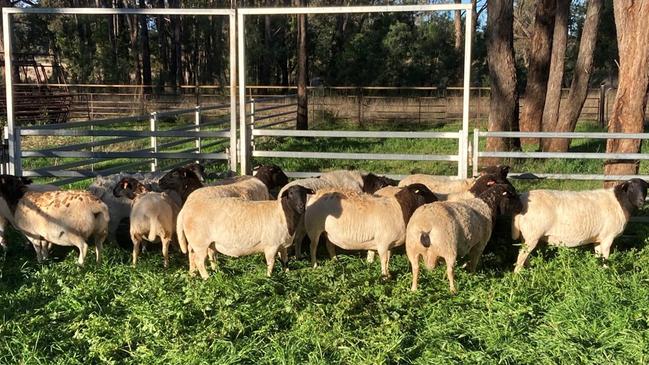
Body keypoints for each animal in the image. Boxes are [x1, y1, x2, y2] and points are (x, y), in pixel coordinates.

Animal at [177, 185, 314, 278]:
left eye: (304, 194)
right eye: (290, 194)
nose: (301, 206)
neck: (283, 214)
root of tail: (185, 210)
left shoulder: (283, 245)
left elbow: (285, 261)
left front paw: (287, 273)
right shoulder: (271, 245)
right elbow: (271, 263)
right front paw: (269, 277)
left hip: (204, 243)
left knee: (200, 256)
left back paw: (202, 273)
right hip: (200, 243)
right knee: (199, 261)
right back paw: (207, 278)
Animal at [302, 183, 436, 278]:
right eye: (425, 192)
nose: (437, 202)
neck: (400, 208)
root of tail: (316, 194)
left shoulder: (389, 244)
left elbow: (386, 259)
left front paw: (386, 272)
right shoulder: (383, 243)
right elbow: (384, 259)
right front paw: (385, 277)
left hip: (328, 232)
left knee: (329, 245)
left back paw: (335, 261)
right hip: (314, 230)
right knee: (312, 247)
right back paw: (315, 265)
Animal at [512, 178, 648, 272]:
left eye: (645, 188)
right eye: (631, 188)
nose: (641, 201)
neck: (620, 202)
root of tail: (522, 200)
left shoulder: (599, 238)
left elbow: (598, 256)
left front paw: (598, 271)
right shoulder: (608, 237)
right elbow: (605, 257)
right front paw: (607, 272)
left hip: (526, 236)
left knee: (525, 255)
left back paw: (529, 270)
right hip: (533, 235)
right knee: (521, 256)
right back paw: (518, 278)